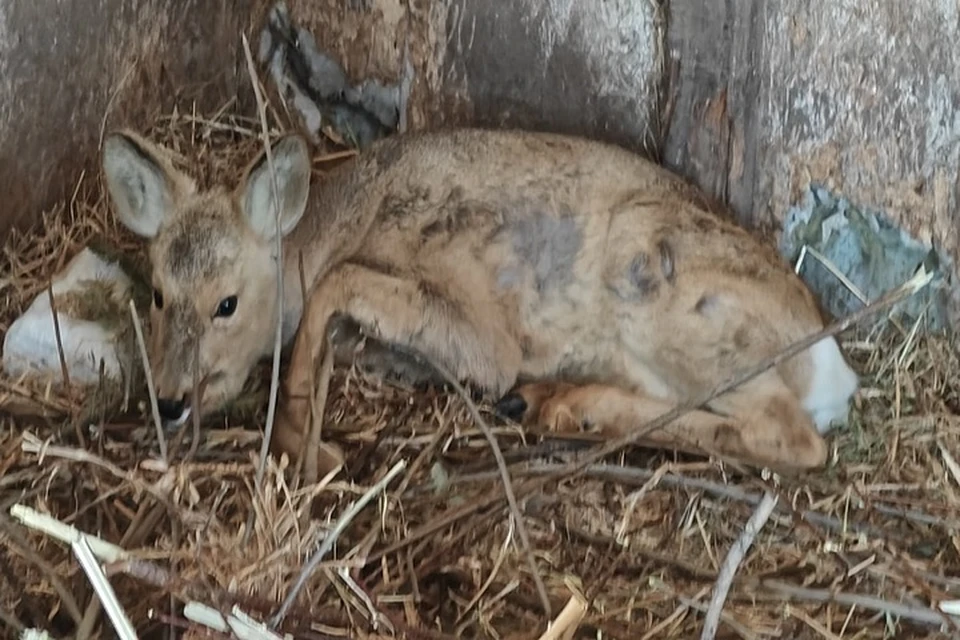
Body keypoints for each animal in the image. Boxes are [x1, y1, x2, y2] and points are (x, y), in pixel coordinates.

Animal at [101, 126, 860, 476]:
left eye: (227, 303)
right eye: (159, 294)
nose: (169, 399)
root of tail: (833, 370)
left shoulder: (482, 331)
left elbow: (339, 291)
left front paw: (305, 445)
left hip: (669, 293)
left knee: (793, 436)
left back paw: (570, 407)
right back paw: (551, 403)